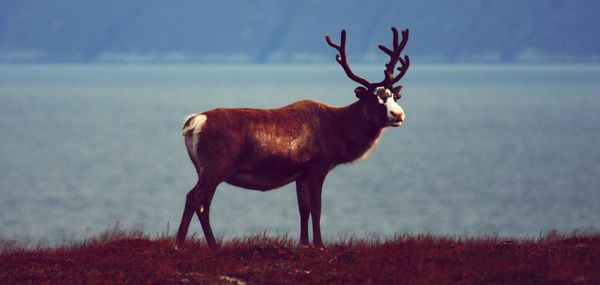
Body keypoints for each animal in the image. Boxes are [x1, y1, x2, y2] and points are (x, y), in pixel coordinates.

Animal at [173, 27, 408, 248]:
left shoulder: (300, 173)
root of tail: (194, 122)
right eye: (374, 98)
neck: (339, 128)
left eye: (395, 96)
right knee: (194, 197)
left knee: (203, 203)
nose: (398, 114)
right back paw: (181, 244)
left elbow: (303, 209)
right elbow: (317, 208)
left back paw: (209, 245)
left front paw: (304, 243)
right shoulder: (318, 165)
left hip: (205, 169)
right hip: (216, 165)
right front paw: (319, 244)